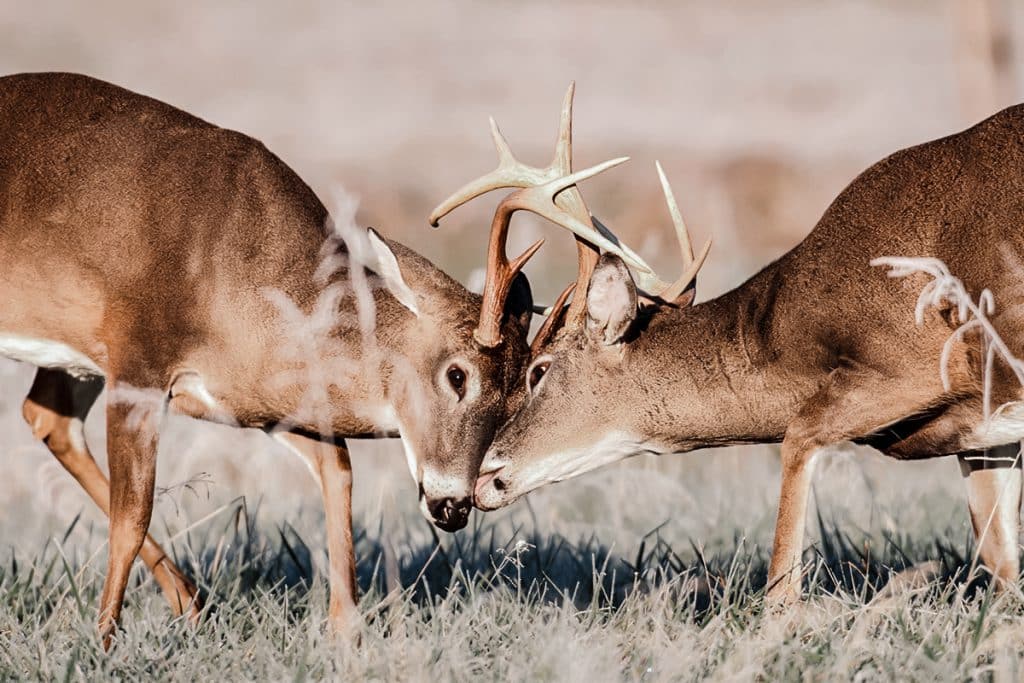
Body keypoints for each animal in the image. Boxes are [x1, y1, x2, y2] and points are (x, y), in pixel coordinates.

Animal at [0, 71, 581, 646]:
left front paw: (346, 634)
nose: (454, 507)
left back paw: (193, 603)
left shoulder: (267, 401)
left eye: (519, 398)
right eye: (457, 375)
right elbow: (132, 516)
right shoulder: (139, 362)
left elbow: (339, 471)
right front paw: (103, 643)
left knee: (46, 415)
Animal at [432, 86, 1024, 602]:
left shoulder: (911, 368)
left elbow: (789, 514)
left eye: (539, 369)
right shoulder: (984, 435)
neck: (794, 332)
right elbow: (1001, 565)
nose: (481, 476)